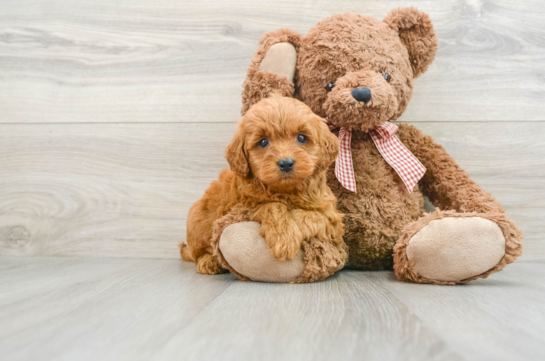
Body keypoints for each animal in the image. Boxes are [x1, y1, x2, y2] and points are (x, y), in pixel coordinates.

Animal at [183, 93, 344, 278]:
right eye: (263, 142)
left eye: (302, 137)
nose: (286, 163)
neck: (286, 190)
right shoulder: (243, 206)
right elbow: (271, 205)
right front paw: (284, 237)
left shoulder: (332, 217)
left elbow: (314, 215)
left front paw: (293, 223)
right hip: (197, 222)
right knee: (197, 252)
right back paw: (208, 261)